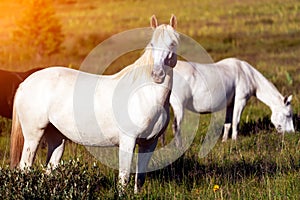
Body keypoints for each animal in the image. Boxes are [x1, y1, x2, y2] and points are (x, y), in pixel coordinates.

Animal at [8, 15, 178, 194]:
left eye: (173, 43)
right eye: (152, 44)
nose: (157, 74)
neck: (143, 95)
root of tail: (25, 83)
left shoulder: (149, 143)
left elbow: (140, 178)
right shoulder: (128, 141)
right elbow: (124, 177)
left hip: (56, 137)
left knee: (50, 169)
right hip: (33, 136)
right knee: (25, 167)